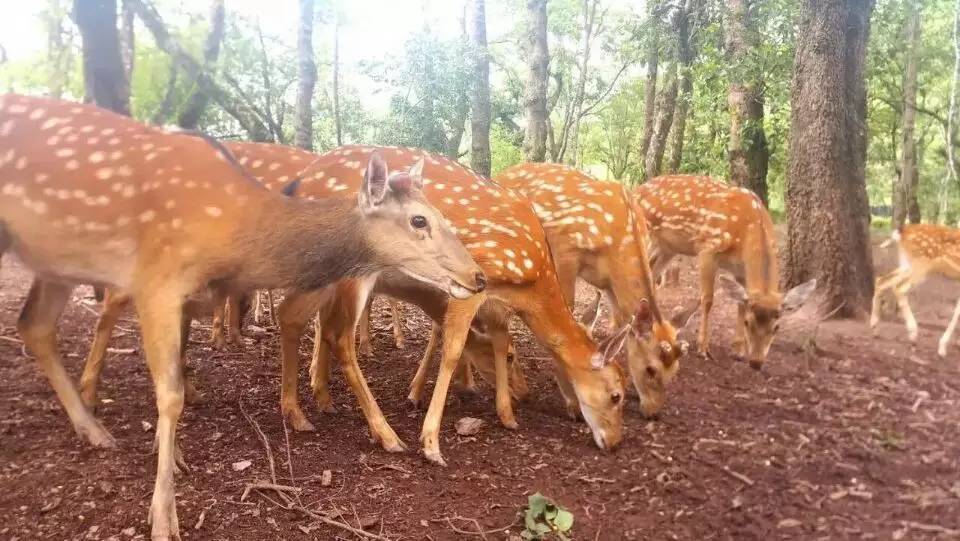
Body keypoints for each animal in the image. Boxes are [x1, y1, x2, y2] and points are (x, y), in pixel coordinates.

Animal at [0, 95, 484, 536]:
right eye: (419, 220)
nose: (478, 276)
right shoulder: (159, 277)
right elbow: (170, 395)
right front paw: (164, 517)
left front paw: (171, 456)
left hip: (56, 262)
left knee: (34, 325)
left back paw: (93, 429)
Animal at [223, 143, 632, 464]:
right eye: (617, 395)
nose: (615, 442)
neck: (530, 279)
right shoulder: (478, 281)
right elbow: (455, 348)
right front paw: (432, 440)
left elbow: (479, 336)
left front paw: (504, 412)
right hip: (349, 272)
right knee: (334, 333)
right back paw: (384, 433)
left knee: (295, 316)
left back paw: (307, 408)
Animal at [496, 162, 688, 416]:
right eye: (651, 369)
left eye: (675, 371)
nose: (653, 413)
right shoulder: (566, 252)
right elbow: (567, 313)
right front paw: (571, 400)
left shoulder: (609, 284)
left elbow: (620, 325)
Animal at [636, 175, 816, 370]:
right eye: (748, 323)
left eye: (777, 327)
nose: (756, 362)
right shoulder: (707, 248)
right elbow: (707, 299)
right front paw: (703, 349)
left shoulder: (741, 270)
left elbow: (740, 303)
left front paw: (738, 350)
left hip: (667, 248)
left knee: (651, 277)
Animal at [872, 221, 960, 356]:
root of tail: (901, 232)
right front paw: (942, 348)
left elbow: (958, 310)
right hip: (921, 265)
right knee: (899, 288)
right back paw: (913, 334)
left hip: (907, 264)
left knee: (881, 280)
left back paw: (874, 327)